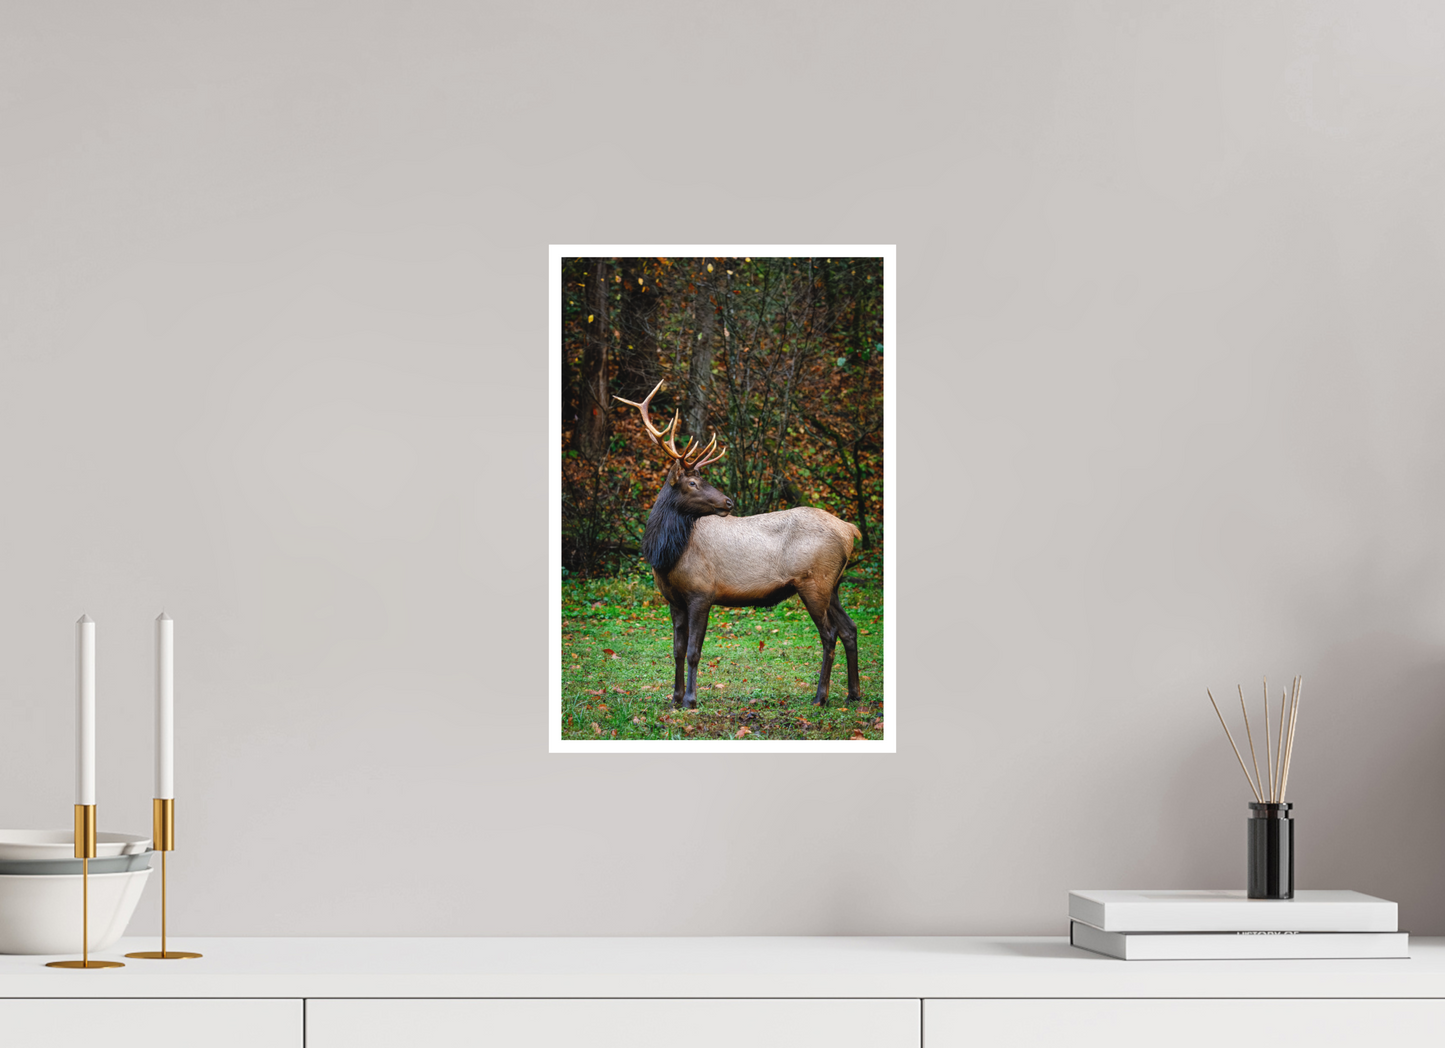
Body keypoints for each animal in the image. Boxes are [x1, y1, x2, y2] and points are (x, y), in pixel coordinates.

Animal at [613, 381, 864, 711]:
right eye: (692, 483)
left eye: (700, 479)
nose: (728, 501)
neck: (666, 556)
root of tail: (850, 530)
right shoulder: (674, 600)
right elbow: (677, 650)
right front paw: (674, 698)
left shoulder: (702, 593)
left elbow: (693, 651)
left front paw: (690, 699)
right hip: (833, 584)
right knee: (849, 629)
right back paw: (853, 693)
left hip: (814, 582)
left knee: (830, 633)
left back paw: (820, 696)